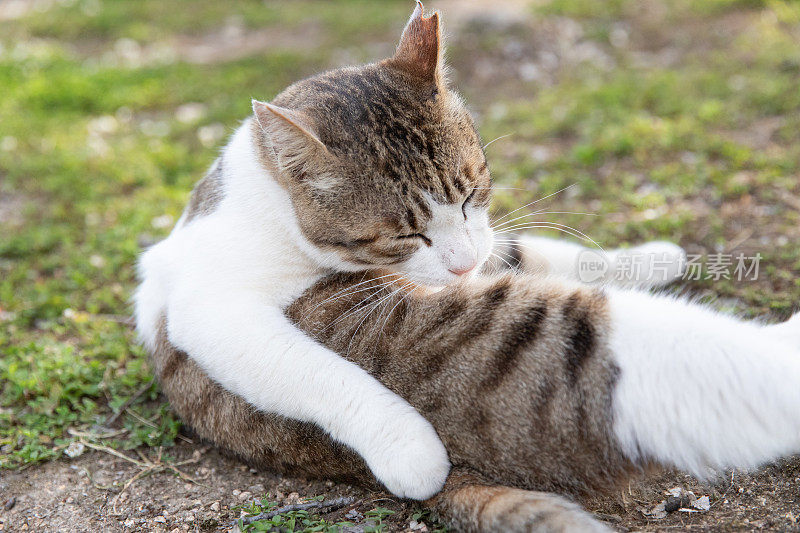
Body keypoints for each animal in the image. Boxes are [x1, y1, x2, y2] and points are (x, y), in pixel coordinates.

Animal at [133, 3, 800, 528]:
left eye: (471, 192)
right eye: (406, 234)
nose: (459, 268)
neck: (271, 198)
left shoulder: (484, 243)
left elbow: (529, 251)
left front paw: (644, 258)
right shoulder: (213, 308)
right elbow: (313, 372)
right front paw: (409, 450)